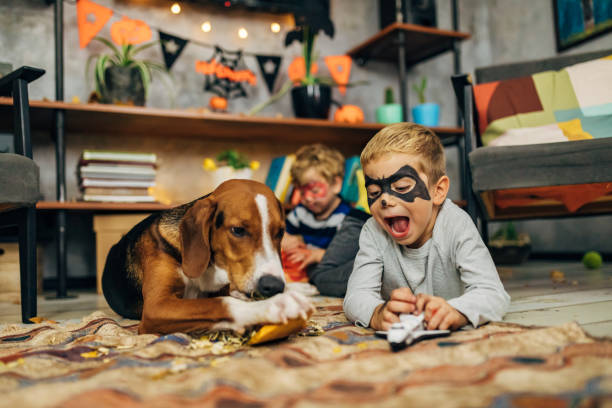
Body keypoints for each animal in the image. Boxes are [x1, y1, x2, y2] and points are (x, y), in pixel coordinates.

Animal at [103, 178, 314, 334]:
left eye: (280, 232)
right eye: (238, 230)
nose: (274, 285)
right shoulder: (156, 306)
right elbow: (221, 303)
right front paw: (275, 305)